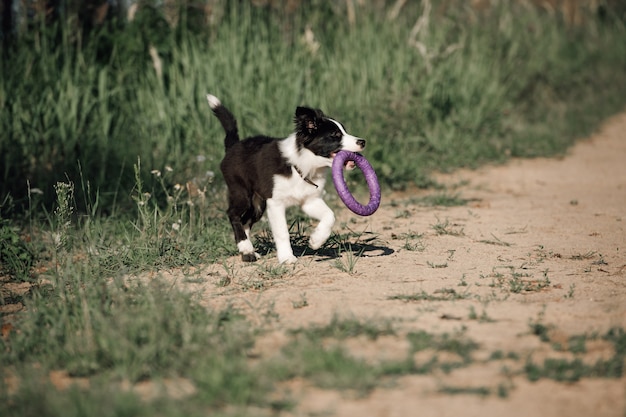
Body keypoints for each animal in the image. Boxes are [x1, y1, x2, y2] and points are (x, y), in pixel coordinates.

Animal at [207, 94, 364, 264]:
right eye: (335, 135)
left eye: (344, 131)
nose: (363, 142)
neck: (301, 165)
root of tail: (233, 146)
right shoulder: (276, 203)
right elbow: (282, 232)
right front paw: (287, 258)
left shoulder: (309, 200)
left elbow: (330, 215)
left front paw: (316, 240)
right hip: (241, 192)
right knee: (233, 214)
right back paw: (245, 247)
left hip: (258, 204)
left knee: (245, 221)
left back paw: (247, 251)